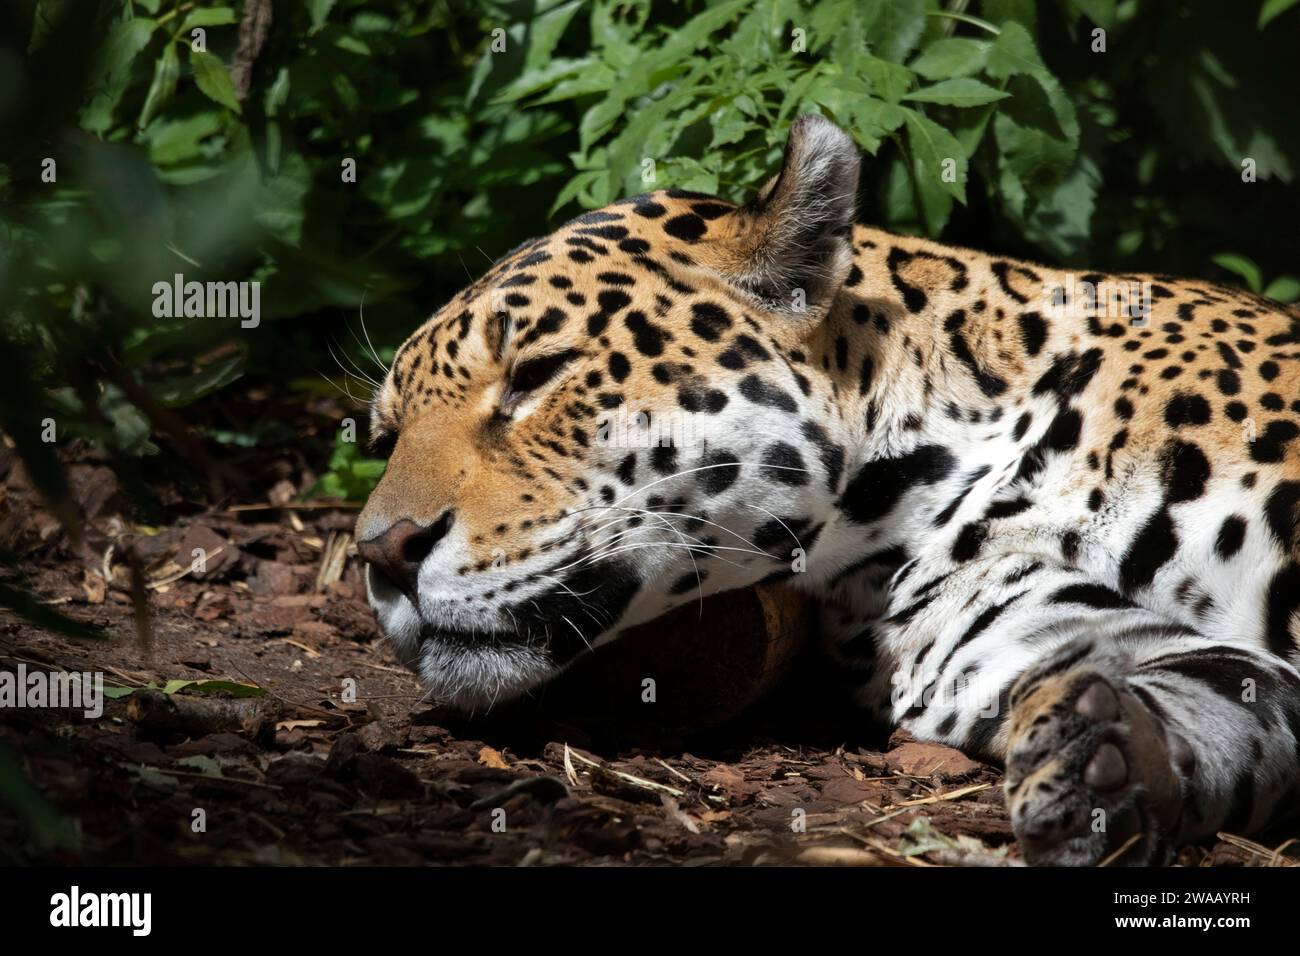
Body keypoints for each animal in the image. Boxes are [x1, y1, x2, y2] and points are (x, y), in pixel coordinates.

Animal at [356, 115, 1300, 866]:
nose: (381, 554)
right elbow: (1216, 692)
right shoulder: (1035, 625)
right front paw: (1104, 761)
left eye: (535, 373)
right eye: (384, 435)